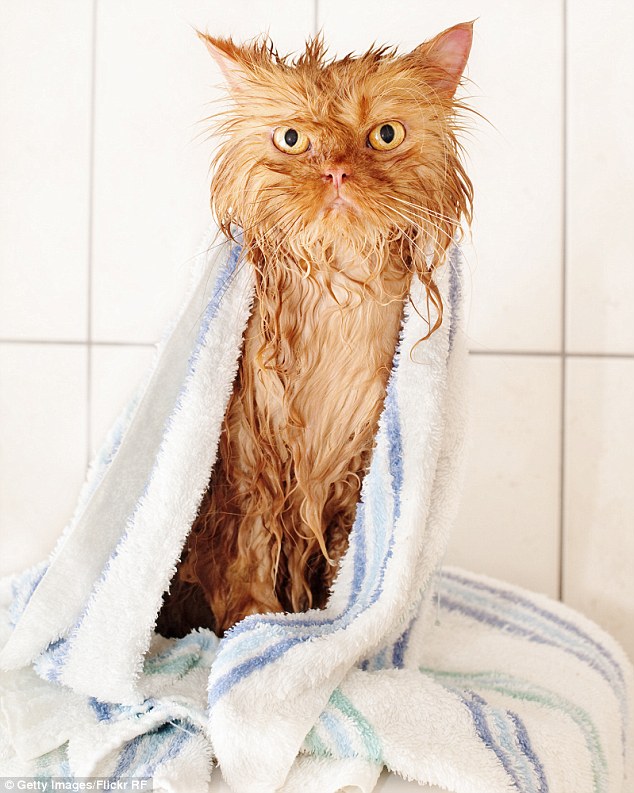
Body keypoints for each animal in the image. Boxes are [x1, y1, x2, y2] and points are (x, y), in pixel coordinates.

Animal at [154, 20, 470, 636]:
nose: (336, 171)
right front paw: (254, 632)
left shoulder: (357, 474)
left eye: (385, 135)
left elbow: (342, 581)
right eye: (293, 138)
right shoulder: (248, 472)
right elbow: (250, 570)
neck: (337, 306)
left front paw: (330, 637)